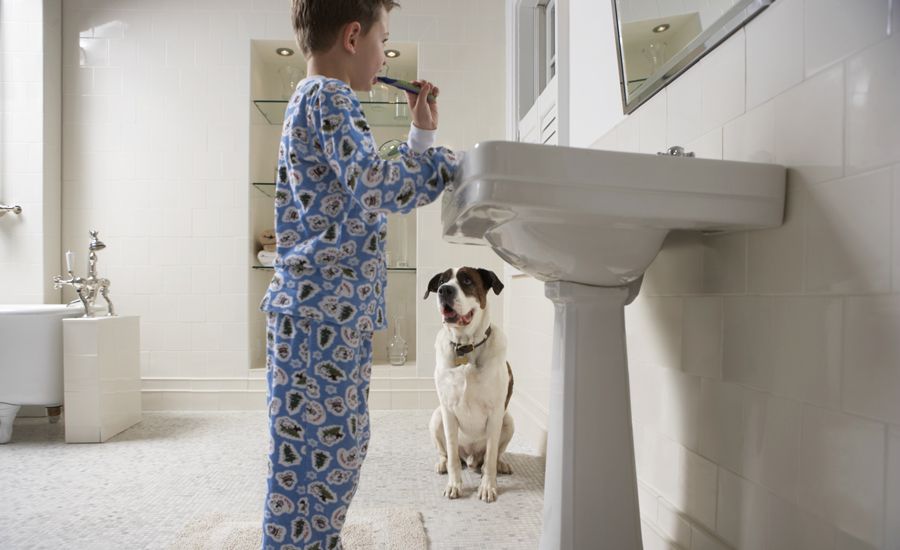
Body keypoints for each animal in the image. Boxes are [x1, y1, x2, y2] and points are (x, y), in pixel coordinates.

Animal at [426, 268, 516, 504]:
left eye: (467, 280)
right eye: (441, 280)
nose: (444, 290)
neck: (465, 346)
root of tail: (472, 457)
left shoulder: (495, 412)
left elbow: (492, 454)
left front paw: (487, 487)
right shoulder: (447, 411)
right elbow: (452, 456)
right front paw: (454, 485)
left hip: (508, 421)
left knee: (493, 456)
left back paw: (499, 464)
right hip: (436, 417)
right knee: (448, 453)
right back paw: (442, 463)